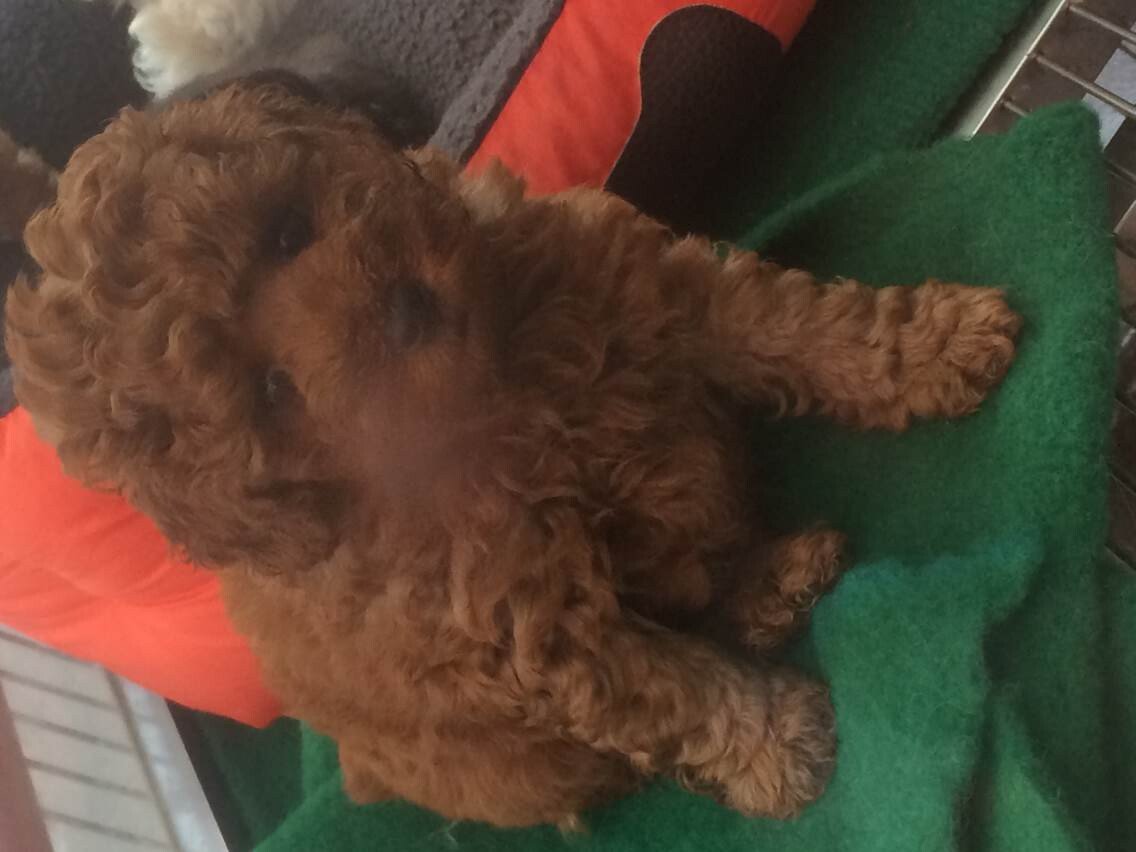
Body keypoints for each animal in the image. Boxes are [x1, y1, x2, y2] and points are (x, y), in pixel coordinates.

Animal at [4, 77, 1020, 827]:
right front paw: (781, 745)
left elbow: (792, 323)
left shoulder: (653, 290)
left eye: (286, 231)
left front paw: (936, 344)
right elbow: (674, 693)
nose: (401, 309)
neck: (489, 390)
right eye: (272, 394)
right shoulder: (534, 624)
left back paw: (778, 578)